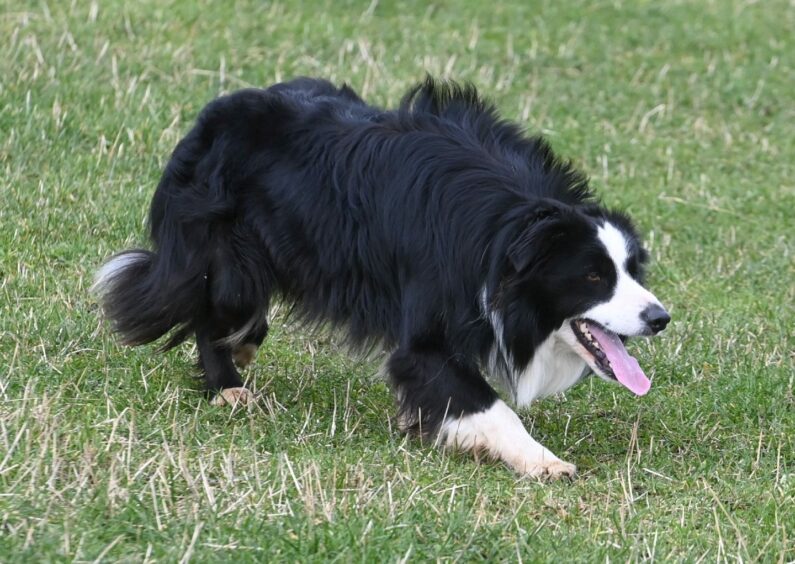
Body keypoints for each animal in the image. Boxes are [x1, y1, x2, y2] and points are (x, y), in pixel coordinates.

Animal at [95, 77, 672, 478]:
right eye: (593, 276)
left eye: (631, 269)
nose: (659, 318)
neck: (514, 225)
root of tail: (209, 117)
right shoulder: (436, 282)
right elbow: (439, 368)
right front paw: (546, 463)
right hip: (223, 232)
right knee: (215, 299)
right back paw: (230, 388)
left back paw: (243, 350)